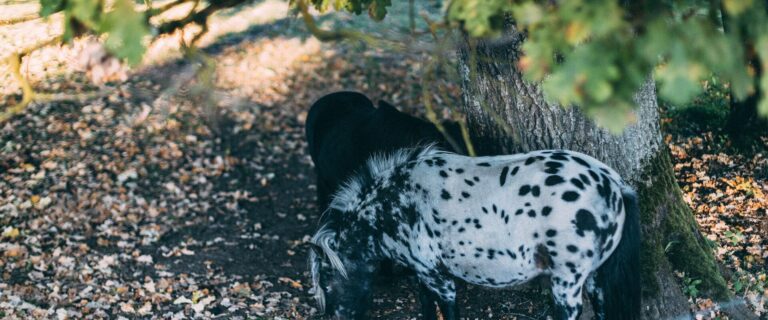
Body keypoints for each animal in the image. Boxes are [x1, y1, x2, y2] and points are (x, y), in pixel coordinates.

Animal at [308, 146, 640, 320]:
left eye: (327, 276)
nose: (333, 316)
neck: (397, 202)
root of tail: (613, 183)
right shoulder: (424, 274)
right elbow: (426, 305)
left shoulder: (439, 278)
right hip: (593, 277)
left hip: (567, 284)